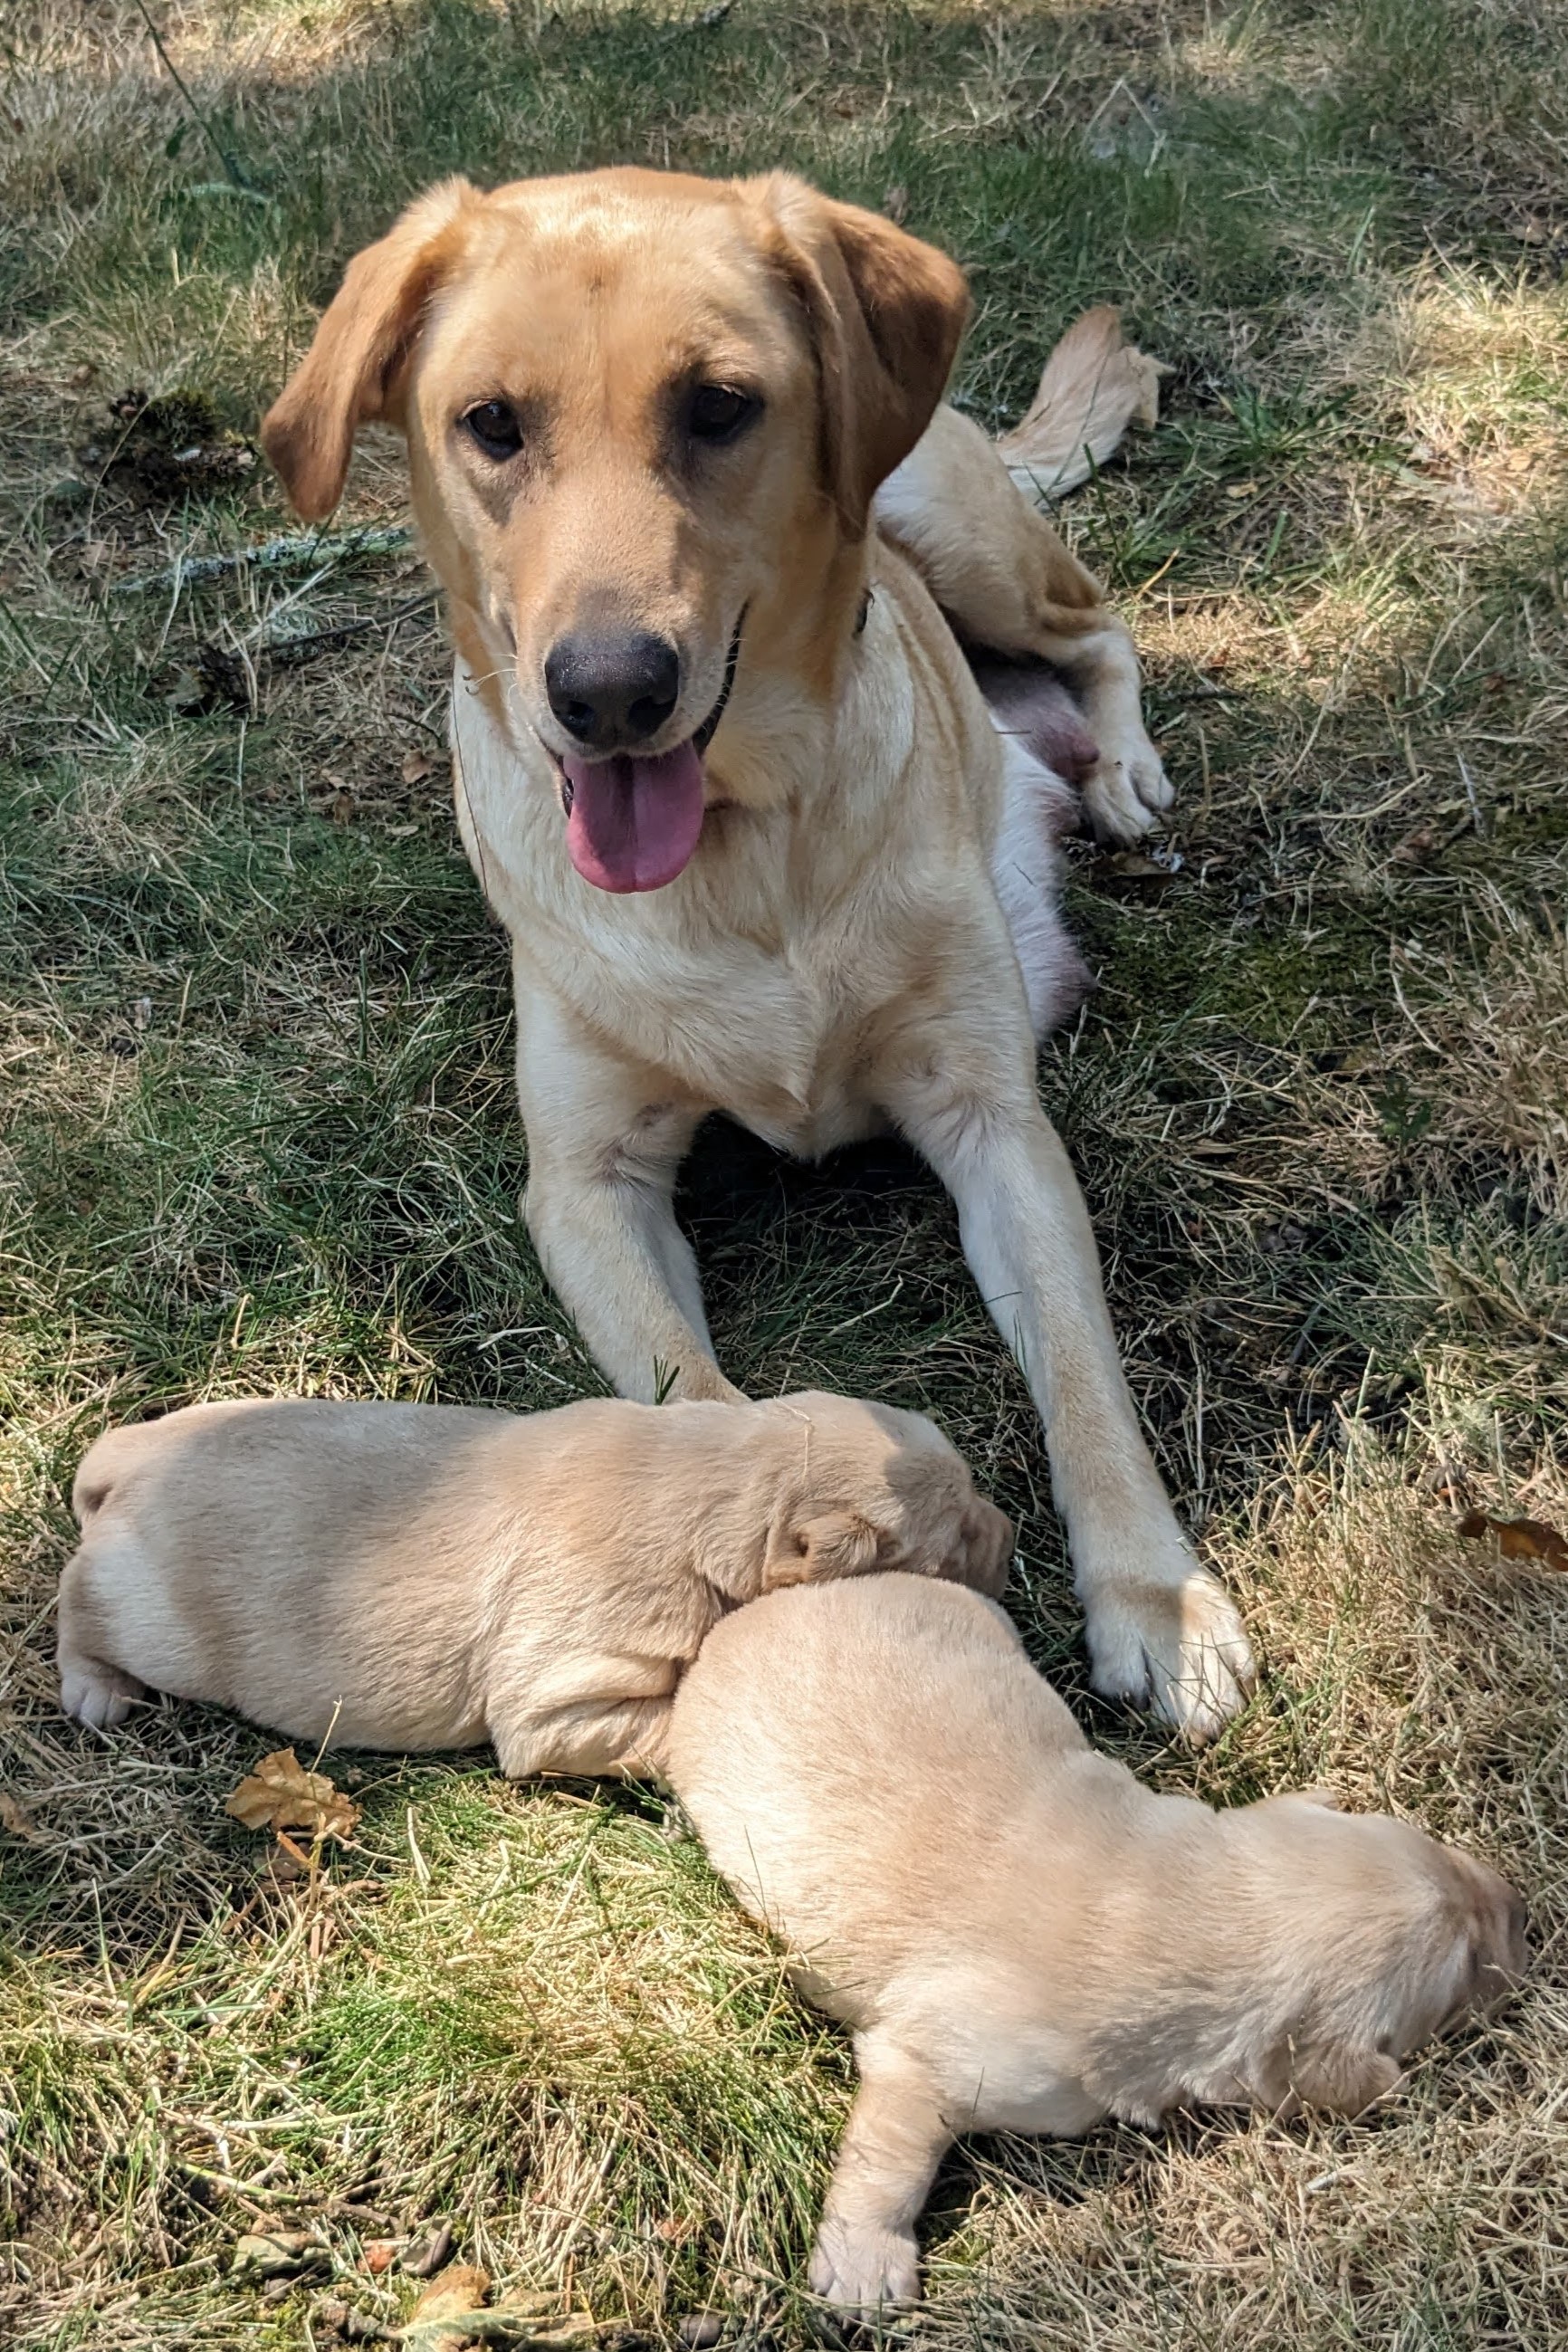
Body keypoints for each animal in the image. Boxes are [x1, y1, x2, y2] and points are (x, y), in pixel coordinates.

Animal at [55, 1382, 1010, 1768]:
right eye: (958, 1532)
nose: (1013, 1533)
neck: (717, 1483)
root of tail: (129, 1458)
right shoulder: (561, 1696)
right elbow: (665, 1720)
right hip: (154, 1616)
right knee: (78, 1599)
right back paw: (95, 1689)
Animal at [261, 166, 1259, 1740]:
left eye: (721, 406)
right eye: (492, 424)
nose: (609, 692)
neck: (740, 857)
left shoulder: (993, 1124)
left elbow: (1086, 1374)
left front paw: (1156, 1598)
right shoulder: (588, 1188)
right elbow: (691, 1402)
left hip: (954, 529)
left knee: (1097, 631)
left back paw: (1119, 773)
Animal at [672, 1580, 1533, 2314]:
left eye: (1443, 1852)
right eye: (1463, 1970)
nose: (1523, 1907)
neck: (1169, 1901)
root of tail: (745, 1616)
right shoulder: (927, 2065)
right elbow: (887, 2161)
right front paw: (864, 2264)